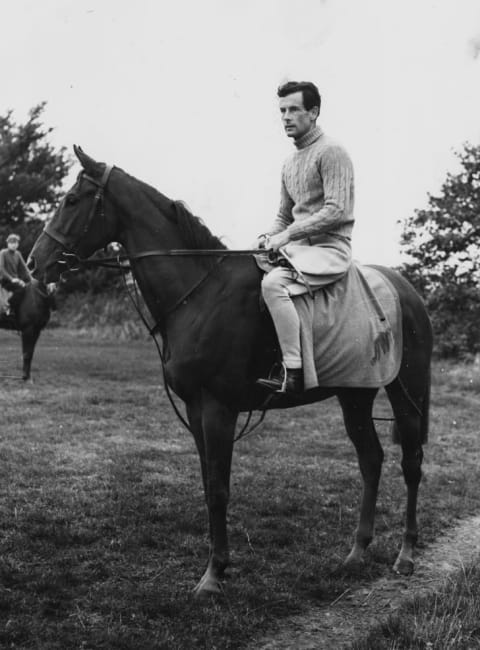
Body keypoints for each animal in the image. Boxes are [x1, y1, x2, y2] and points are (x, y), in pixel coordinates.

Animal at [29, 147, 436, 596]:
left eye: (72, 200)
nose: (34, 263)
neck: (201, 293)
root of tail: (405, 289)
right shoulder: (195, 410)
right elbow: (209, 483)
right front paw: (216, 566)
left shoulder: (218, 410)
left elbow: (219, 490)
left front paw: (213, 575)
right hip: (355, 396)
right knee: (371, 460)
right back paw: (357, 552)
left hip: (407, 394)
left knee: (411, 464)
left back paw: (406, 555)